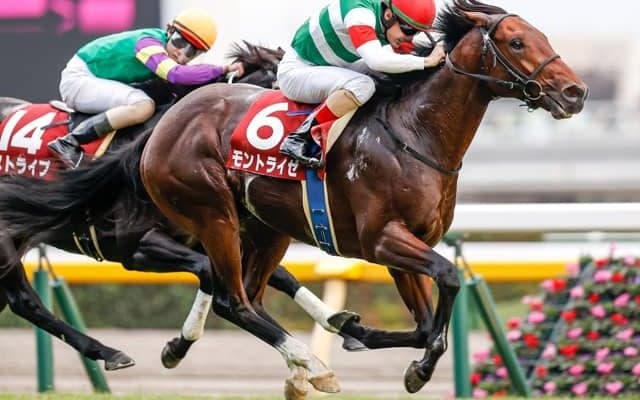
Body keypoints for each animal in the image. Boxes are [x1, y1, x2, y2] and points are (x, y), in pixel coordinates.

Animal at [0, 41, 362, 372]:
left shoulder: (211, 231)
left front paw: (344, 325)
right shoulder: (136, 248)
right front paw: (178, 346)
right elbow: (209, 273)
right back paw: (109, 352)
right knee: (25, 302)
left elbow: (281, 276)